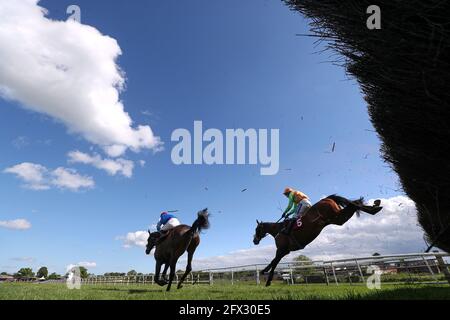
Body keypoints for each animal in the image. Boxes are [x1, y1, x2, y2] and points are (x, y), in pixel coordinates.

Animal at [251, 195, 382, 288]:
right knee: (353, 204)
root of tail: (326, 198)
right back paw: (375, 207)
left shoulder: (281, 249)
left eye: (256, 229)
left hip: (336, 217)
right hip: (336, 219)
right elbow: (273, 262)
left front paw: (266, 277)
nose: (254, 241)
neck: (278, 230)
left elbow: (274, 262)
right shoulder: (285, 251)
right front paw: (265, 272)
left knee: (354, 205)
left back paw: (374, 207)